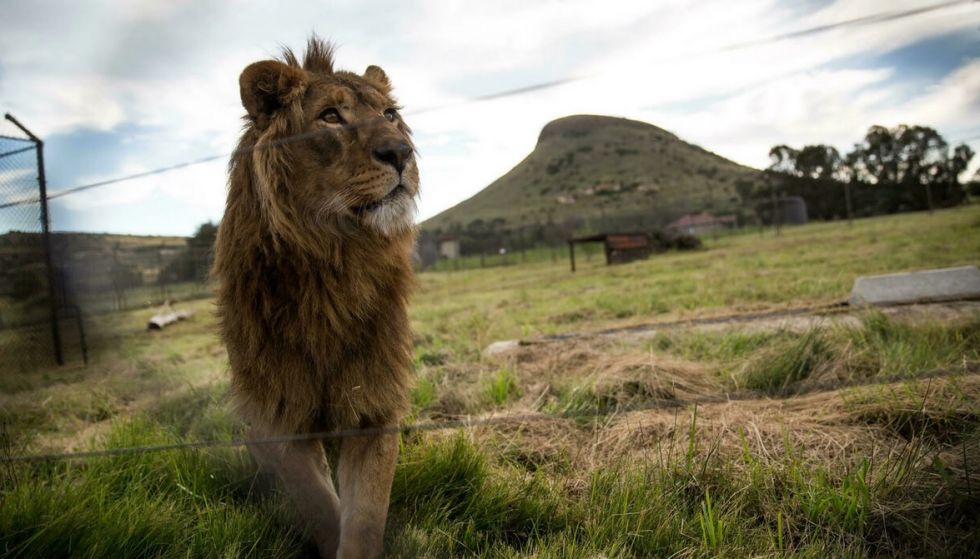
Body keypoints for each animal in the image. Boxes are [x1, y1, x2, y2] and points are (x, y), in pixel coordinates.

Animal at [211, 37, 418, 558]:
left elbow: (363, 519)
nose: (402, 152)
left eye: (390, 114)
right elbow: (318, 505)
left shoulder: (372, 406)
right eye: (329, 117)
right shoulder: (275, 414)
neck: (331, 262)